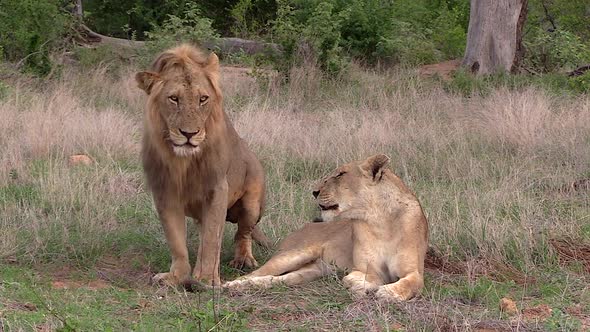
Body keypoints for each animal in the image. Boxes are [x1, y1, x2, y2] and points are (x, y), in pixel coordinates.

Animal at [136, 45, 268, 286]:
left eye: (203, 99)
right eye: (174, 99)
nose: (189, 134)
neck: (183, 161)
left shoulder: (217, 188)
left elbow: (211, 240)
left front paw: (206, 280)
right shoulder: (164, 192)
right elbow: (176, 240)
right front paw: (177, 277)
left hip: (252, 204)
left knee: (242, 233)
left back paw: (243, 260)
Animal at [224, 154, 428, 302]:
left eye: (340, 174)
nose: (314, 192)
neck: (379, 220)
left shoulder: (414, 272)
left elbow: (410, 284)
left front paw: (387, 293)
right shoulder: (365, 269)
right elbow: (359, 278)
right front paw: (360, 286)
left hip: (313, 271)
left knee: (280, 279)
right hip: (293, 255)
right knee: (256, 273)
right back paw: (232, 285)